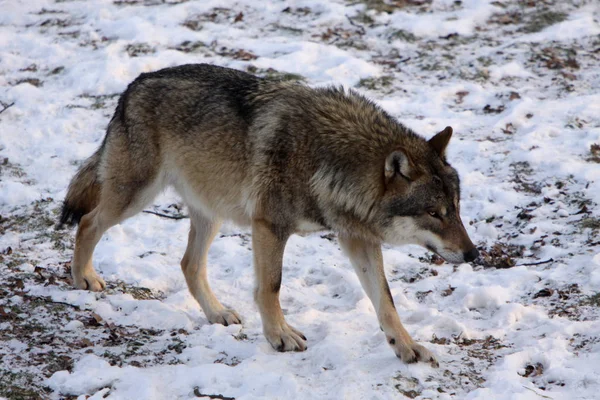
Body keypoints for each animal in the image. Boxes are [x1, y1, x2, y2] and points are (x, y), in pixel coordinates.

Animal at [61, 62, 478, 366]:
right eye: (434, 213)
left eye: (456, 209)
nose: (474, 254)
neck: (327, 161)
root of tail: (135, 84)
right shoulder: (268, 227)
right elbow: (271, 286)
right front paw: (280, 336)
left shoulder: (356, 237)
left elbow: (386, 300)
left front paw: (406, 346)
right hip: (135, 196)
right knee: (88, 222)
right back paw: (84, 278)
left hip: (212, 211)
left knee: (188, 264)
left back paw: (217, 314)